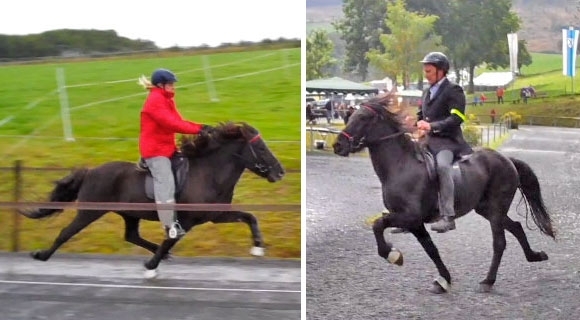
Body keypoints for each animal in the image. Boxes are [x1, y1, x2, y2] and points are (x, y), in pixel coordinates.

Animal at [19, 122, 286, 278]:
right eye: (261, 148)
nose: (280, 172)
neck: (208, 173)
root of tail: (91, 172)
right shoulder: (187, 220)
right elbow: (171, 239)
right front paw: (151, 266)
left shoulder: (215, 215)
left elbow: (250, 217)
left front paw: (258, 248)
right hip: (90, 211)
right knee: (66, 232)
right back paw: (42, 255)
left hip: (129, 214)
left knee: (131, 235)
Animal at [334, 92, 556, 292]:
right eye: (350, 116)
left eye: (363, 118)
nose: (338, 145)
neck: (401, 166)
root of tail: (507, 160)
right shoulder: (414, 223)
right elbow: (431, 249)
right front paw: (444, 280)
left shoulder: (410, 216)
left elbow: (378, 224)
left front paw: (393, 255)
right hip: (486, 209)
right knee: (516, 227)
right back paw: (536, 256)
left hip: (496, 209)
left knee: (499, 242)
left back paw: (488, 281)